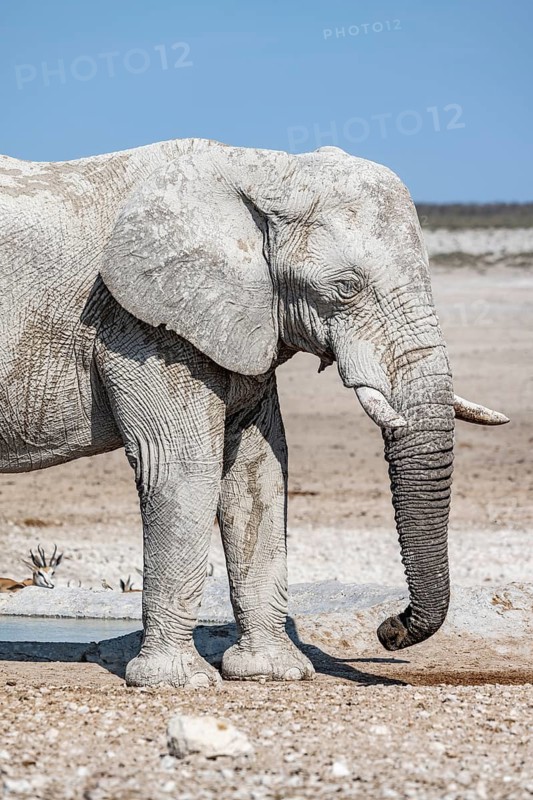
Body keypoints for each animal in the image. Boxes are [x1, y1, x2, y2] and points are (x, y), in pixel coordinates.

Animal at [0, 138, 508, 687]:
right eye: (346, 287)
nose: (388, 630)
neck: (264, 168)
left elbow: (257, 472)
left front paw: (275, 672)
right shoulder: (142, 324)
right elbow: (183, 468)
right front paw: (179, 682)